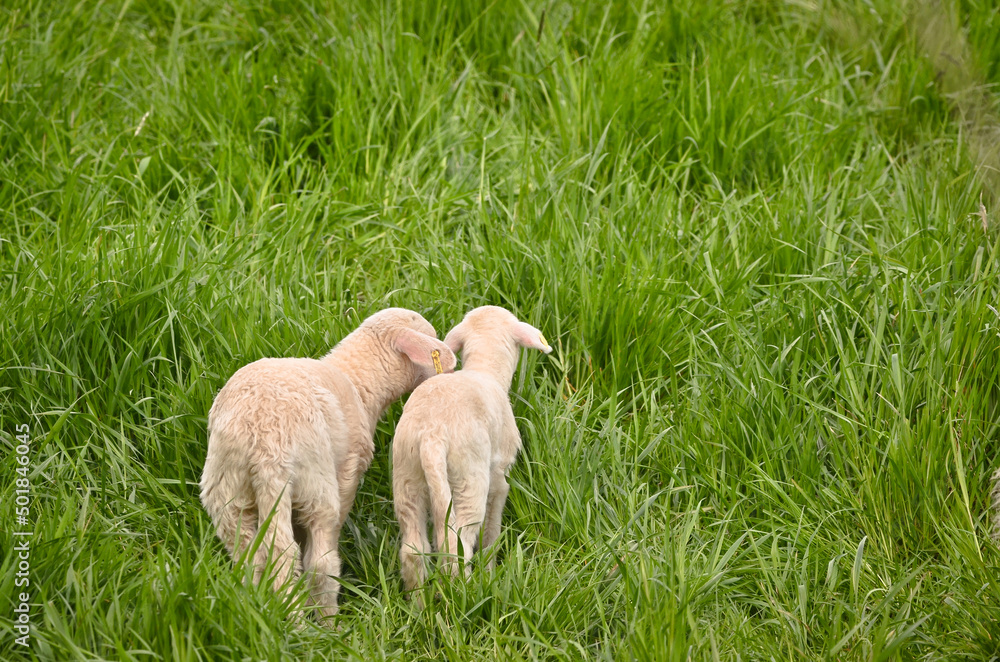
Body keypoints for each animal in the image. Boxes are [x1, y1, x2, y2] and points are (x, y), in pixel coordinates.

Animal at [199, 308, 457, 620]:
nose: (451, 374)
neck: (358, 381)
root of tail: (263, 442)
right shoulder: (348, 471)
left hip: (227, 490)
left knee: (251, 556)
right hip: (316, 484)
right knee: (312, 561)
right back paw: (319, 621)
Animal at [391, 305, 552, 595]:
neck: (484, 370)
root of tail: (432, 435)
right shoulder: (500, 474)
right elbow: (492, 529)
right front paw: (490, 568)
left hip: (407, 475)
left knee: (413, 550)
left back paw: (418, 602)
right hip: (468, 476)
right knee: (458, 545)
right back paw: (469, 593)